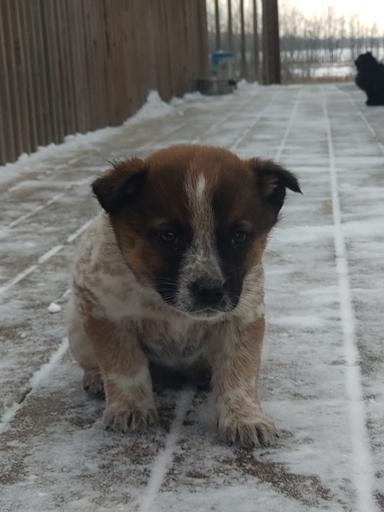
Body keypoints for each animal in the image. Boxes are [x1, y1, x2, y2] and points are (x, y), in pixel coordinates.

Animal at [70, 144, 304, 448]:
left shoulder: (242, 317)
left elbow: (239, 374)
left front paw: (245, 418)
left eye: (239, 236)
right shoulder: (105, 311)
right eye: (169, 235)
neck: (165, 305)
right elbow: (124, 367)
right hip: (77, 326)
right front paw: (130, 408)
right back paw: (96, 377)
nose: (210, 291)